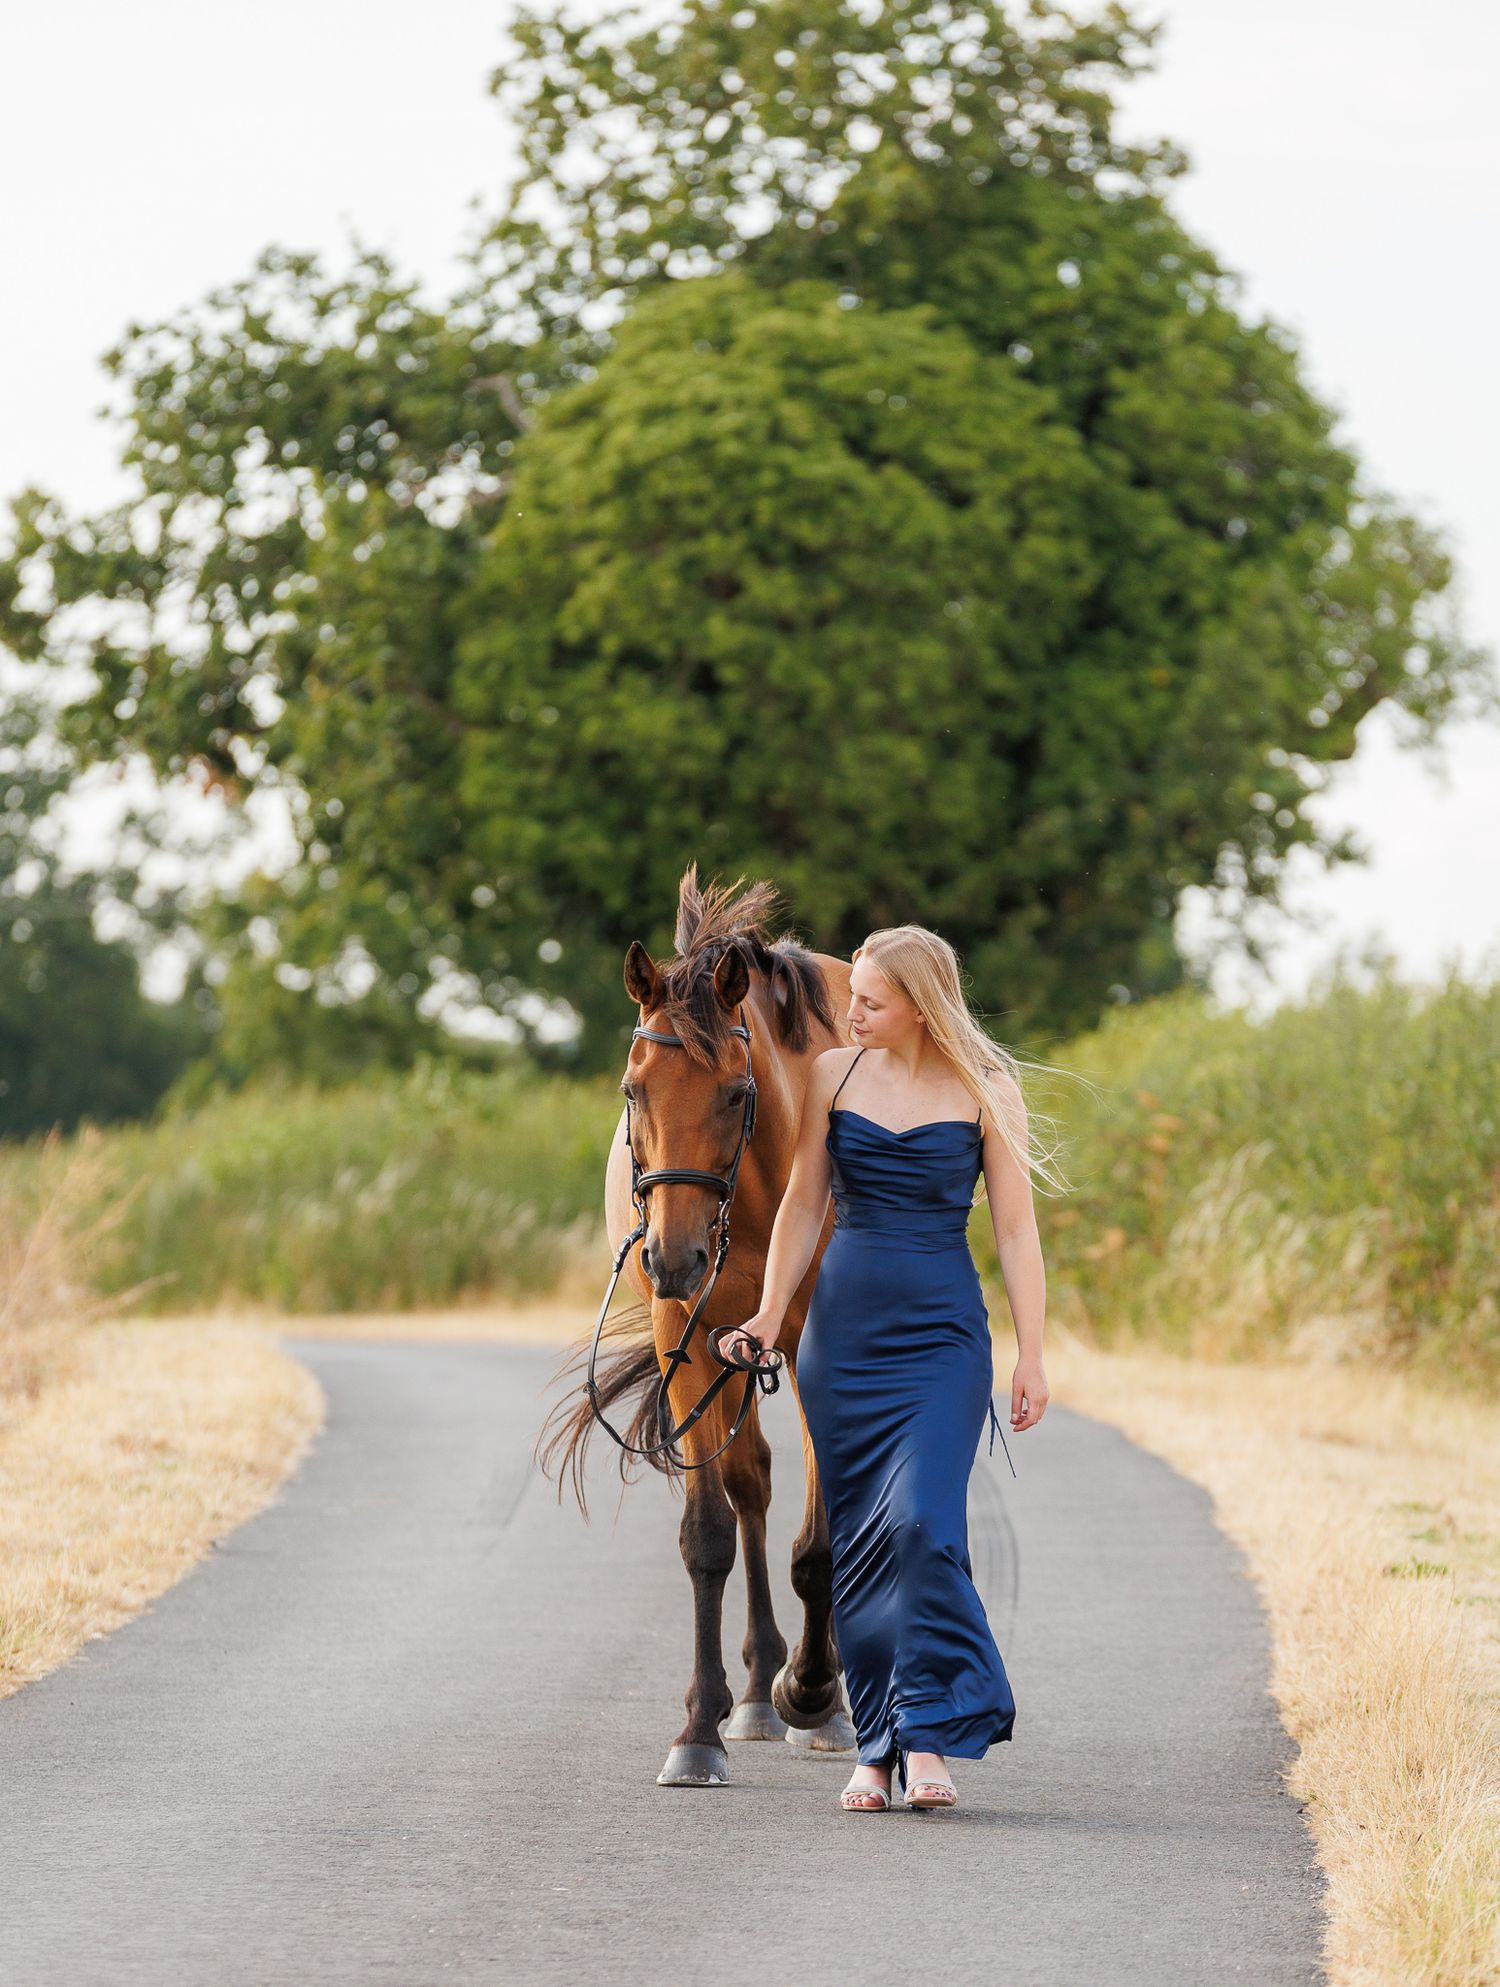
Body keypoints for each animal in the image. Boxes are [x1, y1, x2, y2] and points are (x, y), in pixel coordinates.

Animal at [536, 865, 860, 1786]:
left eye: (736, 1092)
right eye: (631, 1089)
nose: (672, 1256)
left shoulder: (818, 1339)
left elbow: (821, 1543)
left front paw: (813, 1691)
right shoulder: (686, 1336)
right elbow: (709, 1532)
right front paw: (698, 1728)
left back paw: (811, 1696)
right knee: (751, 1483)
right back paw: (750, 1691)